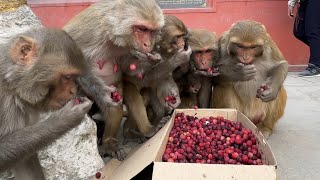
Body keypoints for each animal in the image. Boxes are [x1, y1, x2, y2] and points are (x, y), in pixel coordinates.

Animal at [0, 27, 93, 179]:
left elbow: (25, 161)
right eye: (67, 77)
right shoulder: (5, 104)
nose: (73, 91)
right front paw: (64, 119)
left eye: (74, 77)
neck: (11, 85)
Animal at [64, 0, 166, 160]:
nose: (148, 45)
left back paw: (111, 142)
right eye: (142, 29)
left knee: (116, 107)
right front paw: (102, 92)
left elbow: (127, 66)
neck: (110, 32)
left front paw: (152, 59)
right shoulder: (88, 31)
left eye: (152, 31)